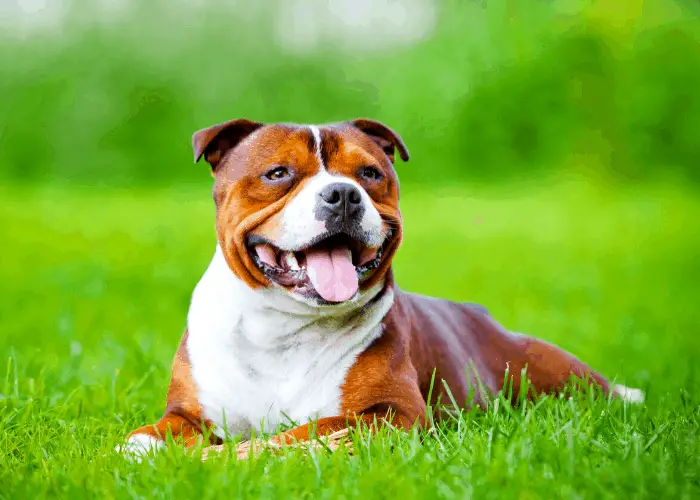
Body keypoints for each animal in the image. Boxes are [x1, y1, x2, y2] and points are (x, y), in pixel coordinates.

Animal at [116, 116, 644, 458]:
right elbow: (143, 437)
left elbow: (302, 432)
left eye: (369, 173)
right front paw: (142, 450)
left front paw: (245, 454)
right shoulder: (187, 415)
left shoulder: (393, 413)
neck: (284, 326)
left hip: (557, 375)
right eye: (278, 173)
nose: (343, 194)